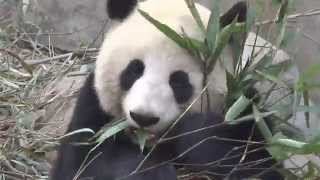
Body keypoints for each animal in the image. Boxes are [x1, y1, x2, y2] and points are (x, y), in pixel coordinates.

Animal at [51, 0, 284, 180]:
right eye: (134, 70)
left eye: (179, 82)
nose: (144, 117)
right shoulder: (91, 110)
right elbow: (84, 162)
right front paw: (150, 172)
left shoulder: (246, 110)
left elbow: (253, 162)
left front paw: (198, 133)